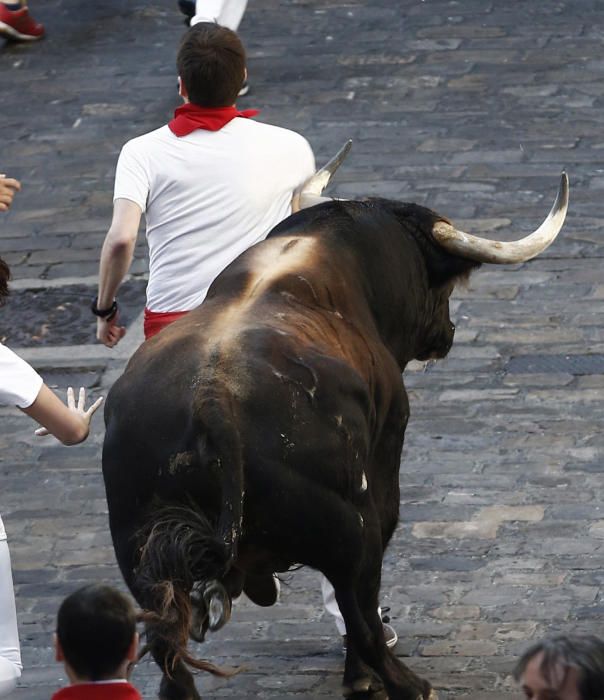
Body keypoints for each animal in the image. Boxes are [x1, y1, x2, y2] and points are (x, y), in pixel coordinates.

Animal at [101, 148, 568, 700]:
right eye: (439, 282)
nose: (448, 332)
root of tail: (212, 399)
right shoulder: (387, 453)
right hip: (352, 526)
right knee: (359, 609)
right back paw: (404, 682)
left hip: (139, 552)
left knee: (169, 653)